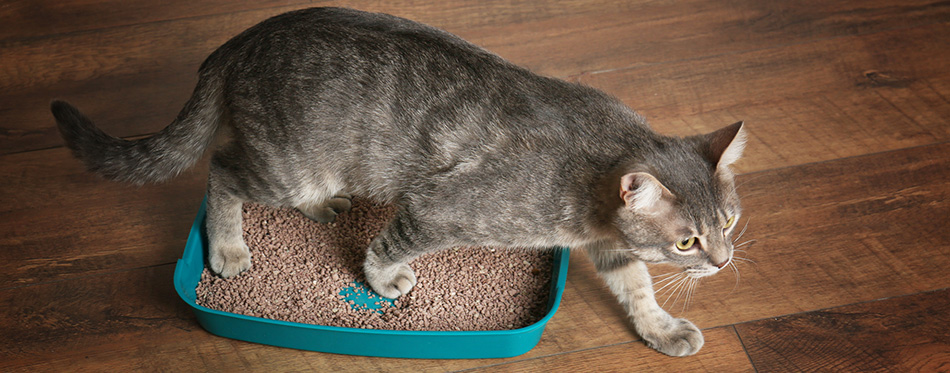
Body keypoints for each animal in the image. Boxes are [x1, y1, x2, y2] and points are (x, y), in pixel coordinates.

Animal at [52, 5, 748, 354]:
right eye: (687, 241)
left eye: (729, 221)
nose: (722, 262)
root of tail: (238, 41)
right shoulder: (439, 207)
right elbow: (390, 245)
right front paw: (385, 279)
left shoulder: (608, 245)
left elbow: (638, 288)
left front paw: (662, 329)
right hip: (285, 164)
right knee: (221, 172)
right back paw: (227, 246)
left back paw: (327, 207)